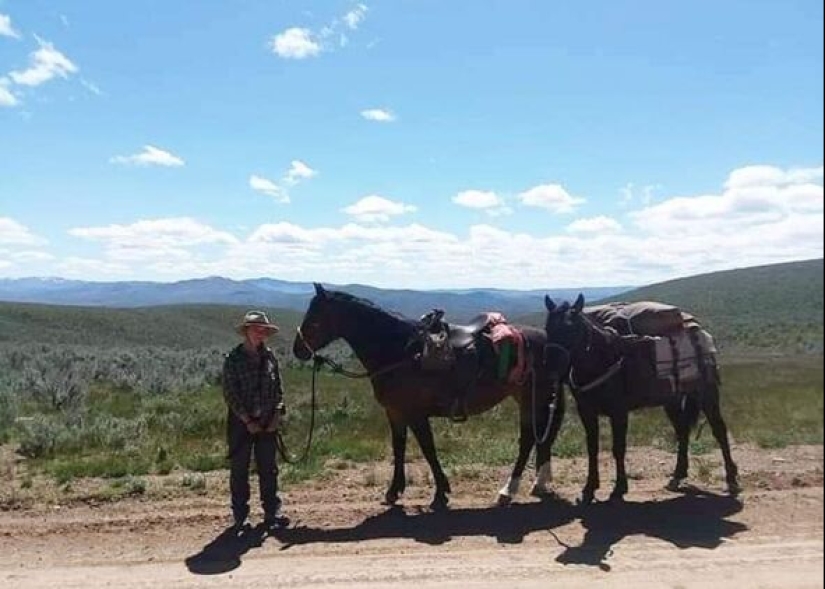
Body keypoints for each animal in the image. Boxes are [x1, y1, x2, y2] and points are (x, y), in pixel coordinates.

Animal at [292, 282, 568, 508]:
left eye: (314, 318)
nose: (298, 350)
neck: (399, 350)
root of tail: (550, 342)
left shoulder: (416, 414)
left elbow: (428, 449)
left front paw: (440, 493)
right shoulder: (396, 413)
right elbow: (399, 448)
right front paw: (394, 491)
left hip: (532, 398)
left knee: (528, 440)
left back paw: (508, 491)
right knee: (540, 438)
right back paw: (539, 484)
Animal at [540, 294, 740, 506]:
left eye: (572, 329)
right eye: (548, 328)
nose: (551, 367)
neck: (602, 360)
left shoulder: (619, 412)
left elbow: (618, 448)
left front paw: (619, 489)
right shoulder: (586, 412)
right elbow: (592, 449)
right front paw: (588, 490)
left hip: (707, 395)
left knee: (719, 430)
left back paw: (731, 479)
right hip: (672, 402)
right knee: (683, 431)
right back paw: (677, 476)